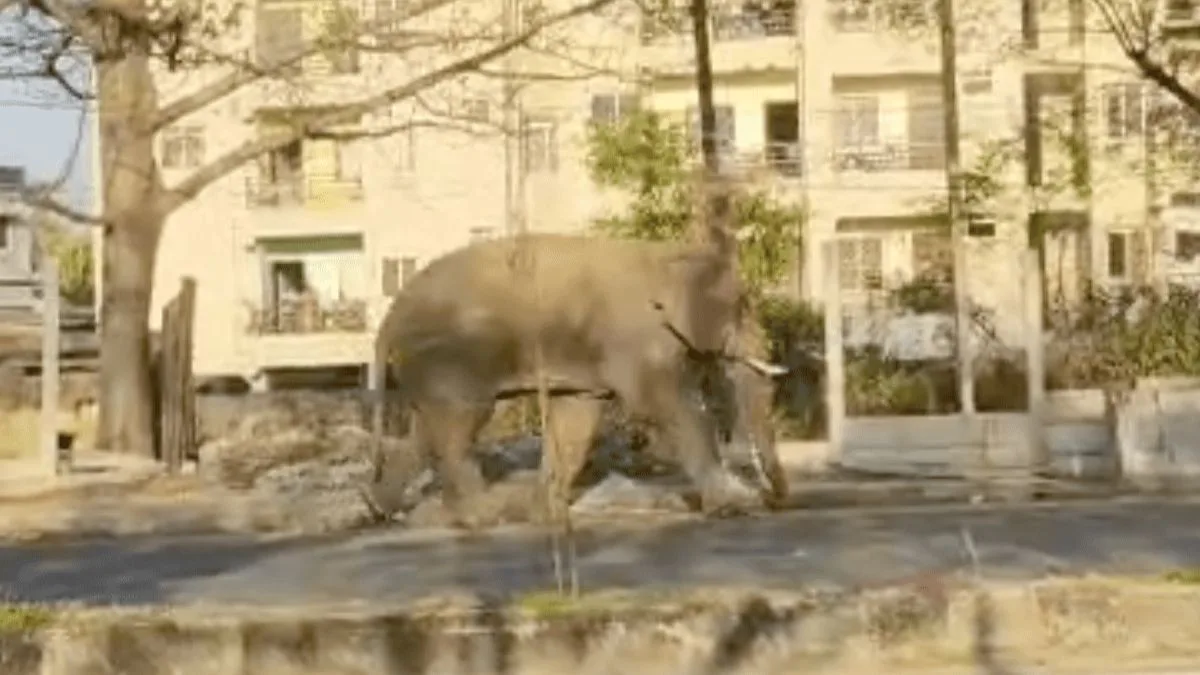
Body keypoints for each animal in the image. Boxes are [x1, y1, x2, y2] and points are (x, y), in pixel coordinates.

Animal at [361, 231, 790, 529]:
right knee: (460, 427)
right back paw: (480, 517)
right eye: (743, 308)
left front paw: (547, 517)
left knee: (424, 433)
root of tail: (389, 318)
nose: (776, 500)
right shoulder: (632, 342)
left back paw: (380, 507)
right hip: (451, 357)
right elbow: (668, 408)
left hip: (428, 367)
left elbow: (576, 421)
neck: (664, 254)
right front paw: (732, 508)